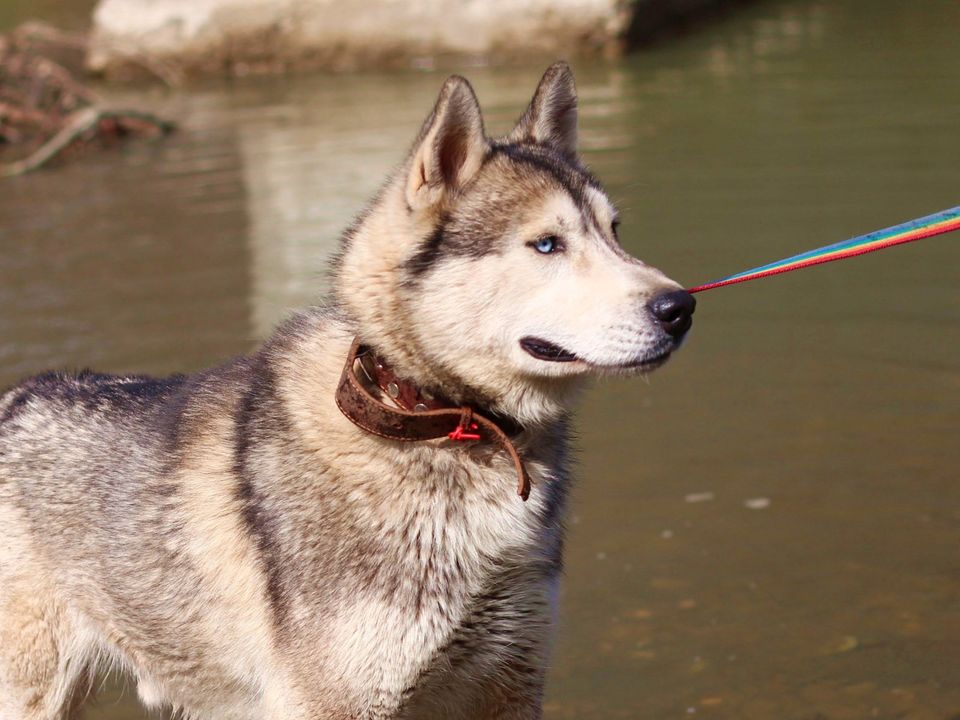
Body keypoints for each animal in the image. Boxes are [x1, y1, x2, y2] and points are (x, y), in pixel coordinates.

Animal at [0, 63, 688, 720]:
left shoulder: (510, 685)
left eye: (616, 232)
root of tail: (16, 398)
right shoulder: (338, 701)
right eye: (547, 244)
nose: (680, 306)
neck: (433, 423)